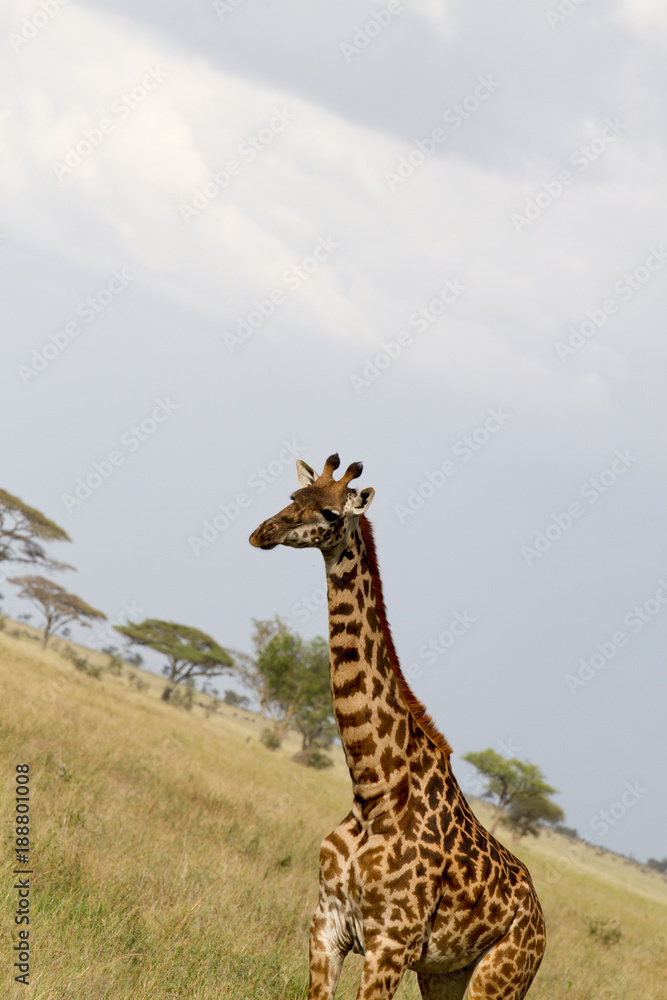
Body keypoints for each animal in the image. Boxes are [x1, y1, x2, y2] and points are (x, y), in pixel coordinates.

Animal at [249, 454, 545, 1000]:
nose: (264, 532)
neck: (374, 791)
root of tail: (539, 918)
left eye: (330, 513)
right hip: (444, 975)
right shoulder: (325, 926)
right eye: (292, 496)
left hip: (500, 978)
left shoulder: (391, 944)